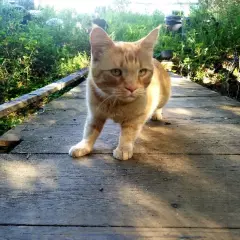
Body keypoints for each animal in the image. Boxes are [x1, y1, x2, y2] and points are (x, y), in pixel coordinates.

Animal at [69, 26, 171, 160]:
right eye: (116, 72)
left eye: (142, 71)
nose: (132, 88)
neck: (115, 102)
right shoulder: (95, 114)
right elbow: (89, 130)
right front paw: (83, 146)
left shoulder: (135, 118)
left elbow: (128, 133)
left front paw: (123, 148)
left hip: (164, 97)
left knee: (159, 106)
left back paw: (156, 114)